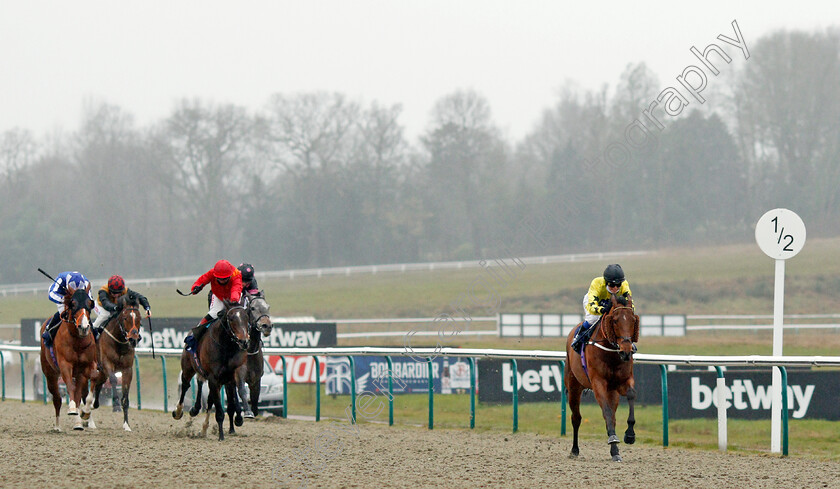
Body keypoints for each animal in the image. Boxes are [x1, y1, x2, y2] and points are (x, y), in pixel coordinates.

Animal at [39, 288, 99, 428]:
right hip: (50, 374)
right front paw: (71, 408)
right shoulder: (65, 364)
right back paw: (57, 426)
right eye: (73, 304)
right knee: (57, 398)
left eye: (90, 303)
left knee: (78, 394)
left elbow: (89, 383)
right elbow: (70, 387)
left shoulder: (86, 366)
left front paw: (85, 413)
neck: (77, 342)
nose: (84, 327)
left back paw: (79, 423)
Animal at [88, 292, 141, 428]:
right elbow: (113, 379)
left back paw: (93, 406)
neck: (119, 343)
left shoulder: (127, 369)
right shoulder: (107, 364)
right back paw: (88, 420)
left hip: (101, 373)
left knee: (98, 385)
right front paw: (116, 403)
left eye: (139, 319)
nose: (133, 339)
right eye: (125, 318)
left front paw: (126, 425)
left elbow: (125, 396)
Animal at [171, 300, 248, 440]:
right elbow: (219, 411)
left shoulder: (230, 377)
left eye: (247, 317)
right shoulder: (213, 378)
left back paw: (203, 427)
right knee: (185, 385)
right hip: (188, 368)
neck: (226, 347)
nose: (244, 341)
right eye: (231, 318)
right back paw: (179, 411)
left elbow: (232, 398)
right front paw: (221, 436)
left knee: (209, 397)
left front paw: (238, 418)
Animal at [568, 294, 640, 462]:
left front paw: (630, 435)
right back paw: (574, 450)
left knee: (612, 417)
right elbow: (606, 412)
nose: (626, 351)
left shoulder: (623, 381)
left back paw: (615, 451)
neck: (611, 353)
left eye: (633, 320)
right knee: (576, 418)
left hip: (612, 391)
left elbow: (631, 396)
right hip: (574, 386)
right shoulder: (598, 383)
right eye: (615, 320)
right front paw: (613, 439)